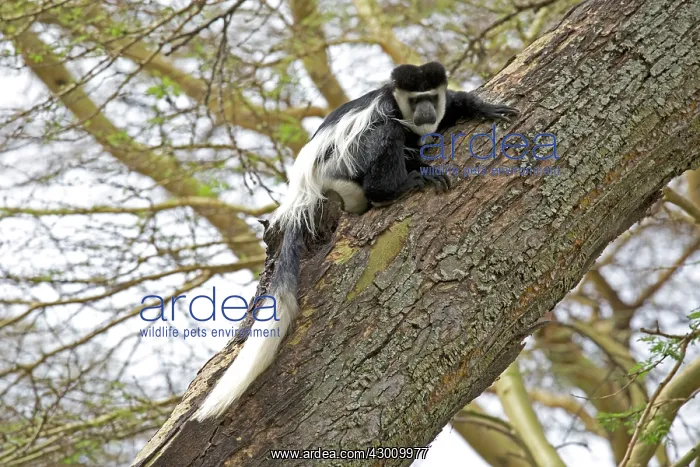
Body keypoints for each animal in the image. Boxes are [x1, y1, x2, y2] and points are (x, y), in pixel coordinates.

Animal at [194, 62, 518, 421]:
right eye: (415, 99)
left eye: (431, 96)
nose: (425, 111)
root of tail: (302, 191)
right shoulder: (388, 110)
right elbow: (393, 130)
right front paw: (421, 170)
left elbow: (453, 108)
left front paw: (484, 106)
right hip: (343, 164)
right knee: (387, 135)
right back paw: (394, 188)